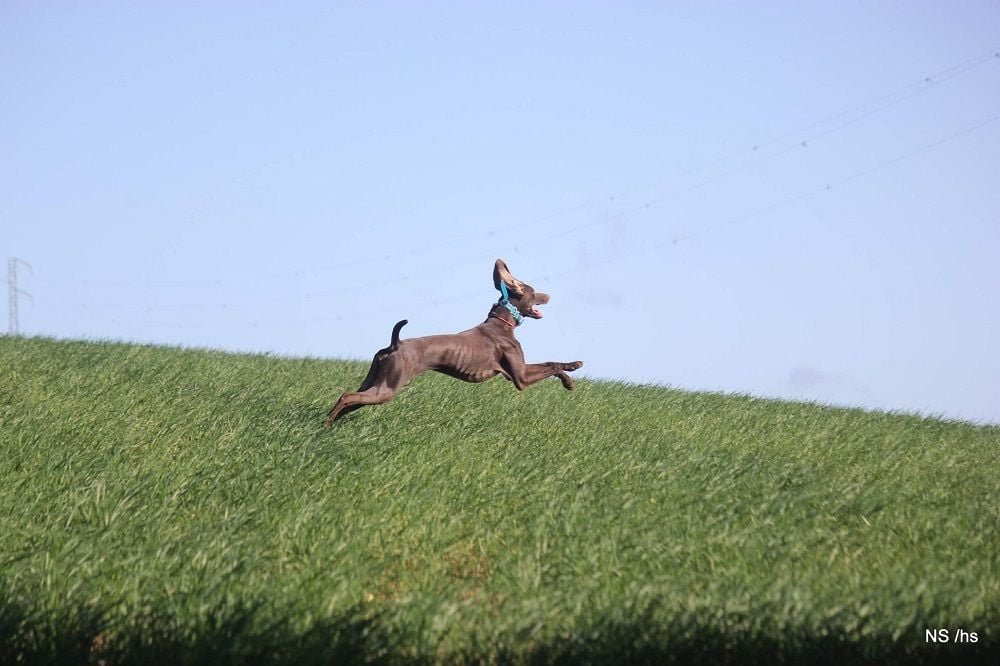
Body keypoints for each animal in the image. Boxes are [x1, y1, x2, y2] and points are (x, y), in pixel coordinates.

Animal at [324, 256, 584, 422]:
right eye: (534, 290)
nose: (548, 295)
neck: (502, 323)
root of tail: (394, 343)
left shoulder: (518, 372)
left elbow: (551, 363)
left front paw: (572, 370)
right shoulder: (520, 377)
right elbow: (551, 365)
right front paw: (570, 378)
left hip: (374, 380)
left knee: (350, 400)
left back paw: (329, 424)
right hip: (387, 386)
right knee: (347, 396)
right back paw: (328, 423)